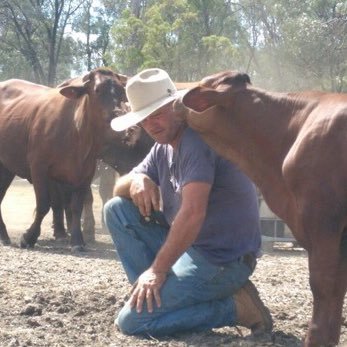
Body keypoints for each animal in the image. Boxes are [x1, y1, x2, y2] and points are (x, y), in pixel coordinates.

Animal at [0, 68, 128, 253]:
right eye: (97, 90)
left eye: (122, 92)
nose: (118, 116)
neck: (75, 130)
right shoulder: (39, 168)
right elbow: (44, 204)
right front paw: (29, 237)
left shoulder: (85, 173)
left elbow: (76, 207)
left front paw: (77, 240)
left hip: (6, 168)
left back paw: (4, 235)